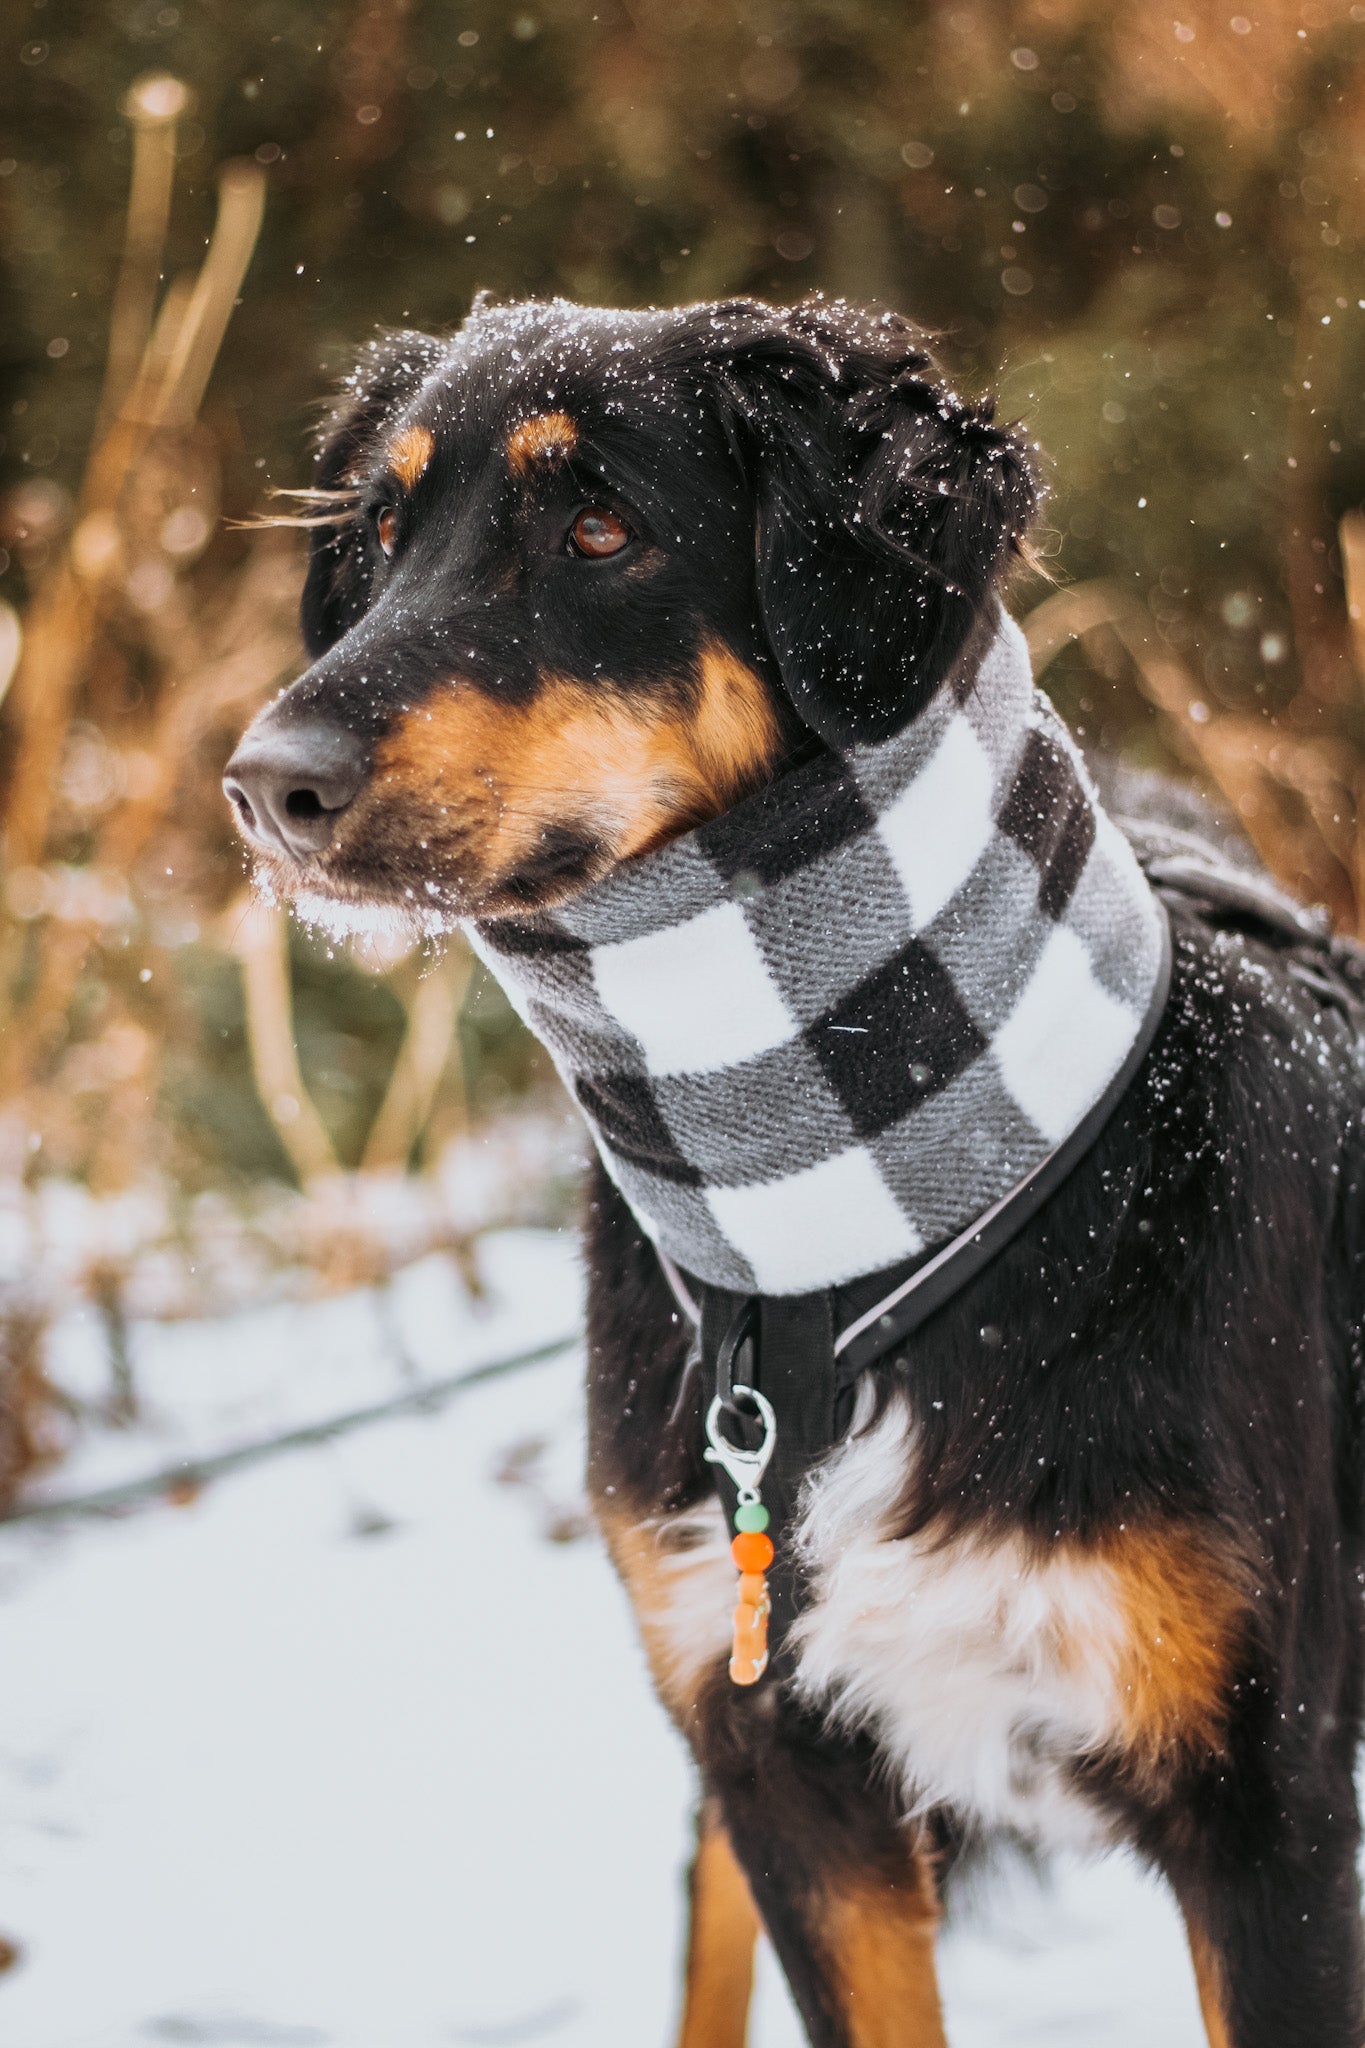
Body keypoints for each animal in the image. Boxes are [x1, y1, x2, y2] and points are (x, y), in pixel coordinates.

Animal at [227, 292, 1365, 2048]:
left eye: (601, 527)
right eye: (376, 535)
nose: (265, 785)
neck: (861, 1263)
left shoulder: (1266, 1809)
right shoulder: (778, 1758)